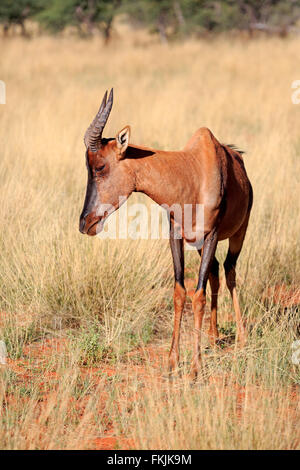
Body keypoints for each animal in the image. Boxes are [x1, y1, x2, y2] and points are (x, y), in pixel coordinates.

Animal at [79, 90, 253, 380]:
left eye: (100, 166)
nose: (85, 223)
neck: (193, 171)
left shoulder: (212, 234)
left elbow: (198, 296)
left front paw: (195, 369)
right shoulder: (176, 236)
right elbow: (180, 292)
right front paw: (173, 362)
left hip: (239, 232)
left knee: (230, 270)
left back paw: (241, 338)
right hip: (199, 244)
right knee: (215, 271)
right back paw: (214, 336)